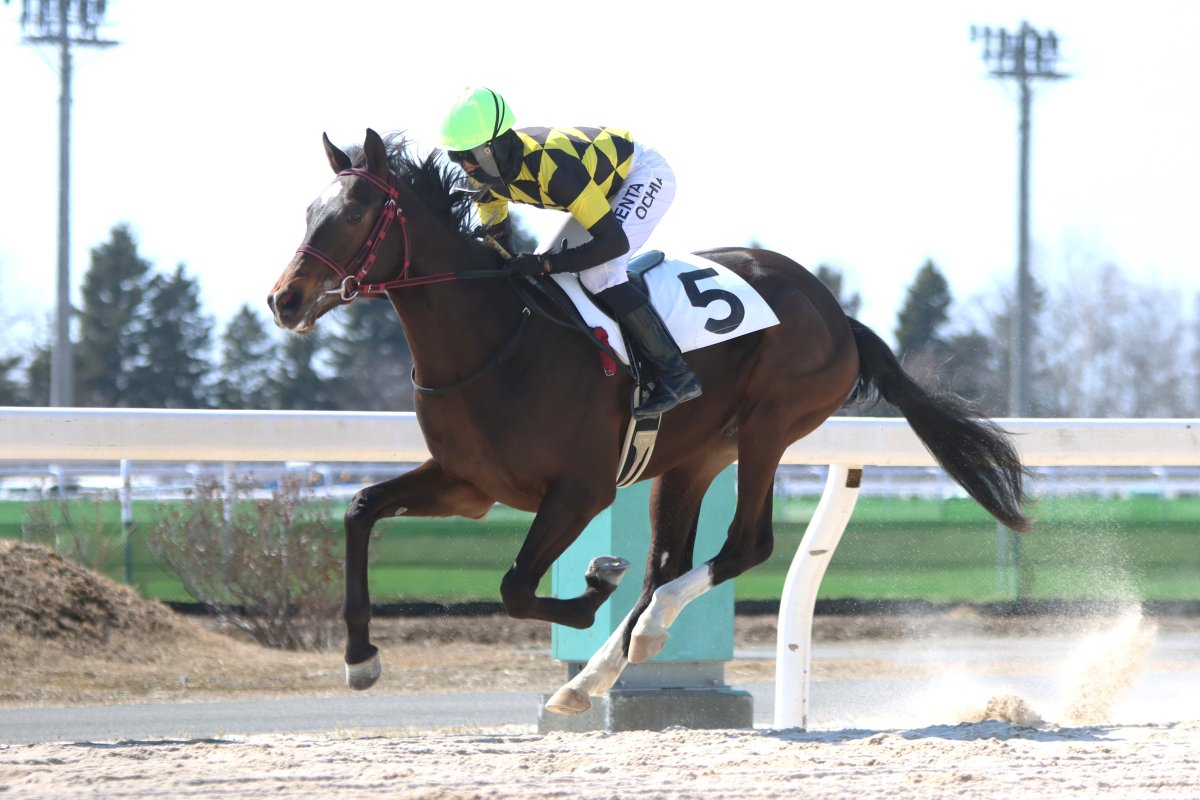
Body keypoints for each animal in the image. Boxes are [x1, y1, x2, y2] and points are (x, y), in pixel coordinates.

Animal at [268, 128, 1030, 715]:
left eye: (355, 214)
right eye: (308, 210)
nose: (284, 299)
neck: (494, 343)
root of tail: (835, 311)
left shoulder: (580, 490)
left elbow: (516, 586)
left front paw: (589, 590)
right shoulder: (469, 485)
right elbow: (361, 508)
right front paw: (359, 656)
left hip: (769, 425)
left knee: (742, 546)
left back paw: (641, 633)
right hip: (696, 455)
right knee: (668, 564)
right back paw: (592, 678)